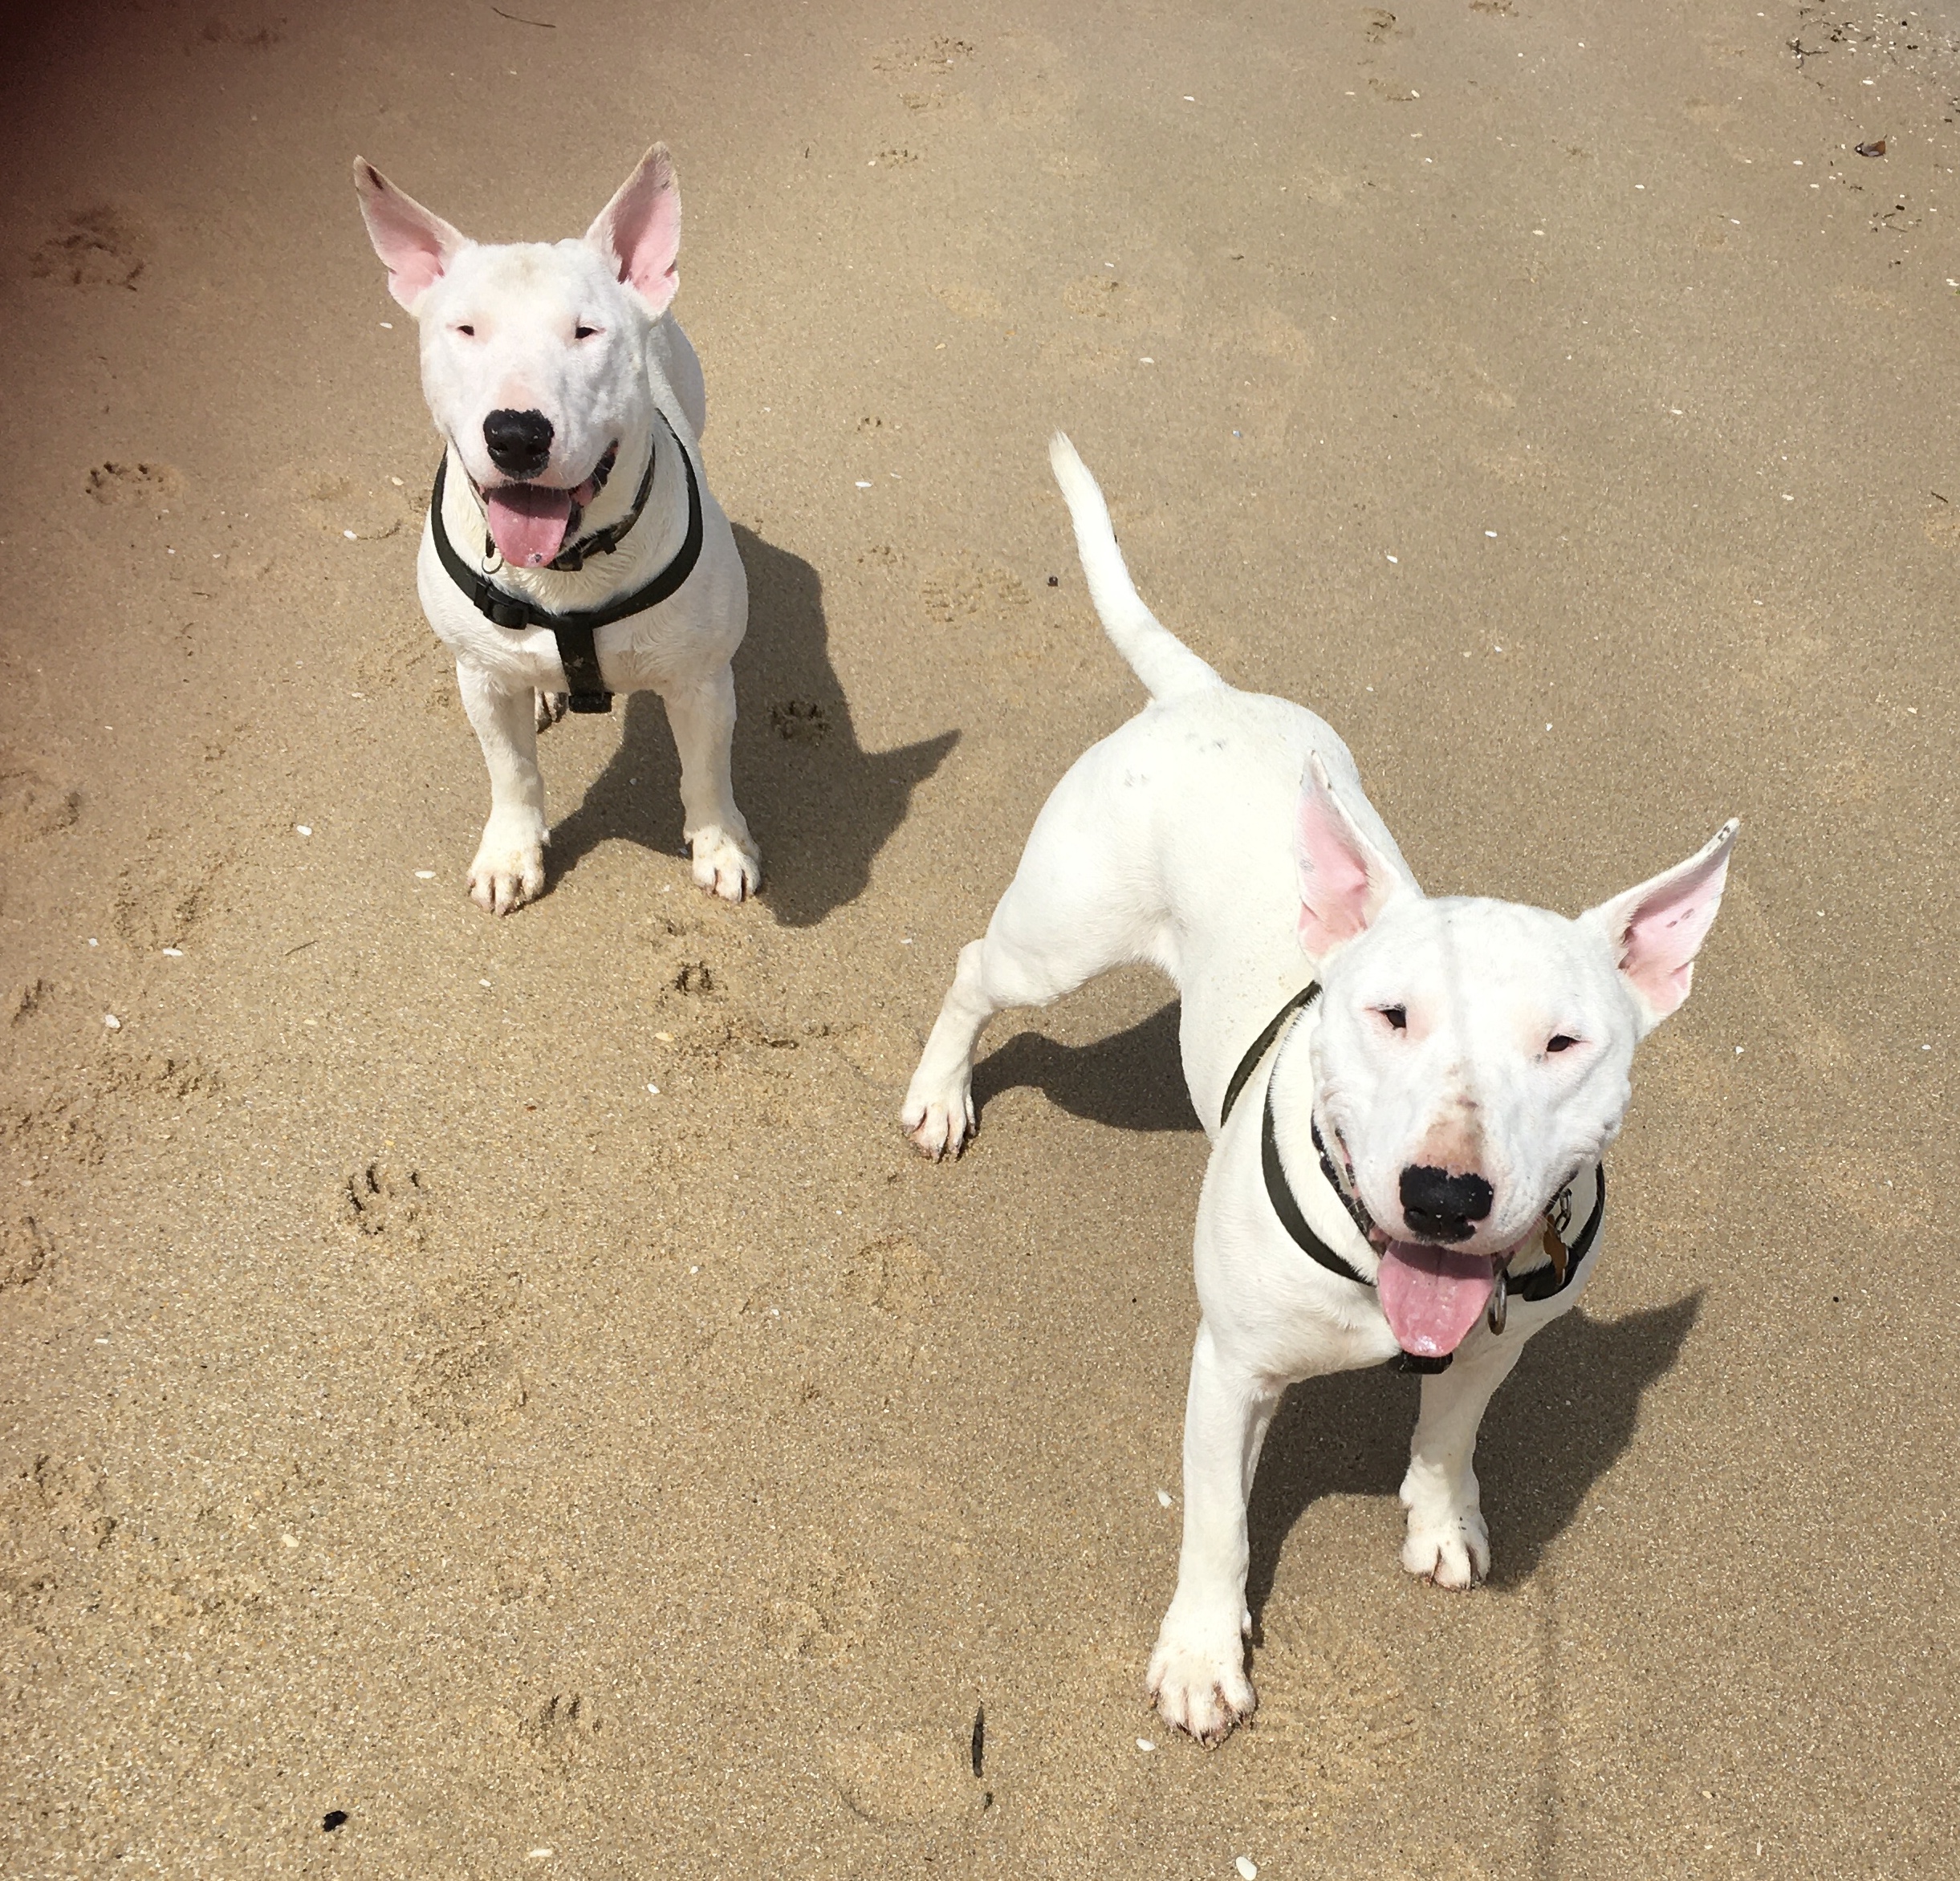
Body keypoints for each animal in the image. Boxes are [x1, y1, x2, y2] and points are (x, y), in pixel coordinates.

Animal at [354, 145, 760, 912]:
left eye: (585, 331)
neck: (570, 565)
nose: (516, 434)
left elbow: (708, 772)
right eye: (466, 330)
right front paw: (511, 855)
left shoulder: (699, 681)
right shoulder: (480, 678)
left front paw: (722, 847)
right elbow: (511, 769)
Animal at [904, 435, 1737, 1745]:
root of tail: (1199, 694)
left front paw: (1443, 1525)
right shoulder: (1230, 1371)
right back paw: (941, 1094)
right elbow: (1216, 1523)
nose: (1445, 1196)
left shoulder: (1495, 1350)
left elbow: (1449, 1436)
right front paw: (1203, 1659)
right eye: (1390, 1015)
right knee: (977, 970)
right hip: (1059, 937)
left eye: (1564, 1045)